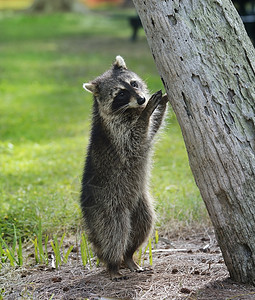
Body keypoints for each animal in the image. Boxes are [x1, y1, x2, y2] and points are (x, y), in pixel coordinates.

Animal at [79, 55, 167, 278]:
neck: (131, 109)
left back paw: (128, 256)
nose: (142, 100)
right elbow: (135, 139)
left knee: (143, 225)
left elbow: (152, 129)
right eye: (121, 94)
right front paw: (147, 112)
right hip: (108, 206)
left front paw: (161, 103)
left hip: (140, 205)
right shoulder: (117, 131)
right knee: (114, 233)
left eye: (133, 83)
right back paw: (113, 264)